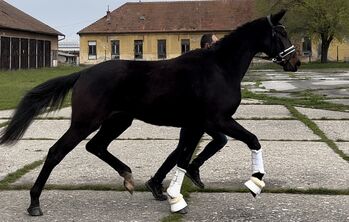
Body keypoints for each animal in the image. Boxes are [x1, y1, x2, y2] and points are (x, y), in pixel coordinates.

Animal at [0, 9, 300, 216]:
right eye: (281, 33)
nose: (295, 62)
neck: (218, 68)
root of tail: (83, 74)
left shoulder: (196, 124)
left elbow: (183, 158)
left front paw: (171, 195)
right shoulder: (217, 120)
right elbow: (251, 140)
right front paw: (254, 183)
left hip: (118, 121)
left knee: (96, 146)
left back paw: (128, 178)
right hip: (85, 122)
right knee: (56, 152)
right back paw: (34, 203)